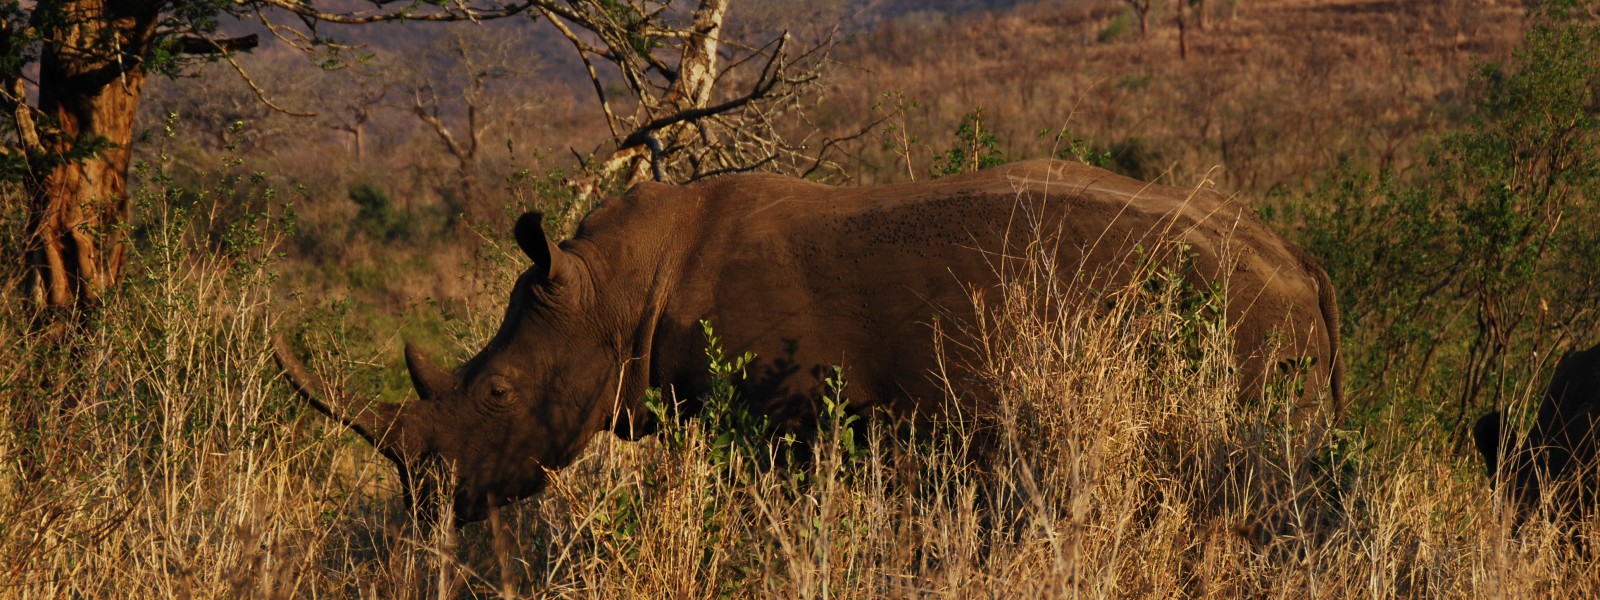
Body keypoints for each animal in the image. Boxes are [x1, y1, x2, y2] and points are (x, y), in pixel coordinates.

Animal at [273, 159, 1344, 525]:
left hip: (1236, 319)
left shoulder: (786, 417)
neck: (614, 286)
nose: (429, 507)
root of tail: (1299, 258)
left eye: (495, 394)